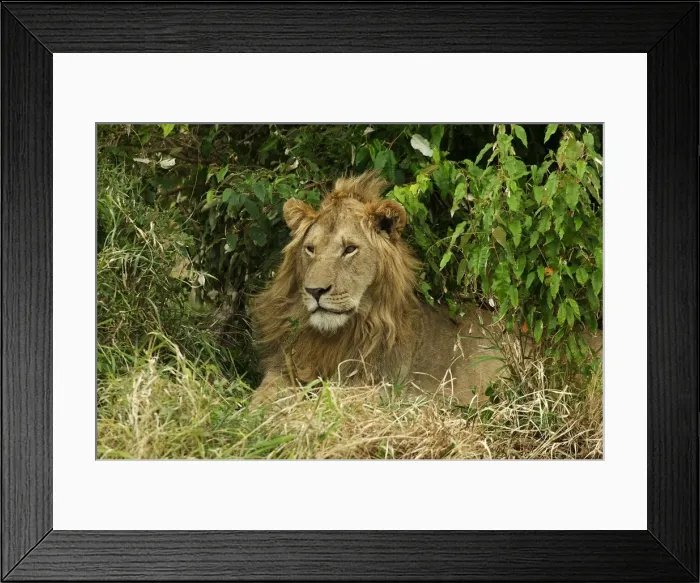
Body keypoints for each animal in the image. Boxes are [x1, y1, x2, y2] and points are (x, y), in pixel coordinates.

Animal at [250, 170, 502, 407]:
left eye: (349, 249)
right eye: (310, 249)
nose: (315, 291)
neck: (334, 338)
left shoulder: (380, 386)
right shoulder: (284, 368)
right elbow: (263, 398)